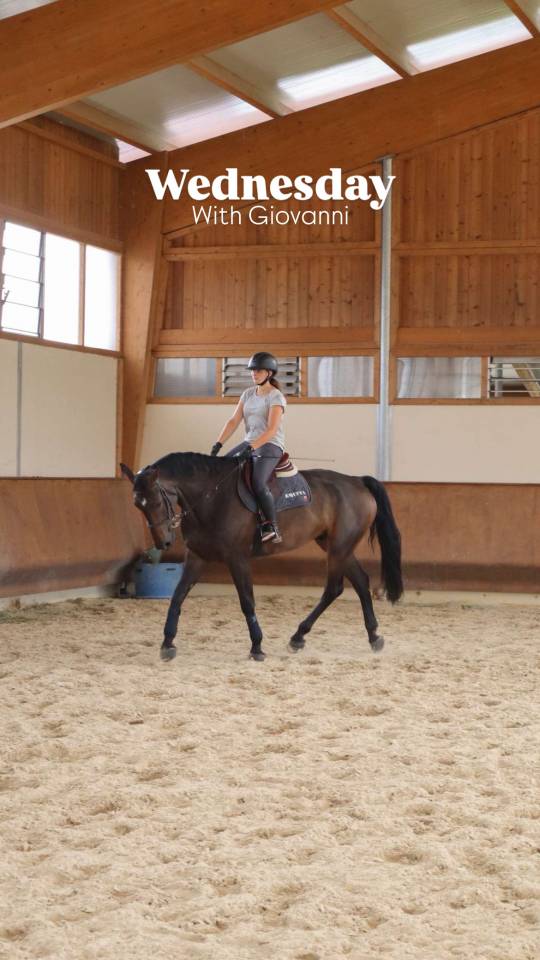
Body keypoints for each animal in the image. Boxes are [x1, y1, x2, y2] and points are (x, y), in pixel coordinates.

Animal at [120, 454, 403, 662]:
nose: (163, 543)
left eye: (157, 502)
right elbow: (177, 597)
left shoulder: (237, 557)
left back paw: (299, 636)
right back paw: (373, 636)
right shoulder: (198, 557)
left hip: (339, 548)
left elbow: (247, 602)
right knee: (361, 581)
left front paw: (256, 646)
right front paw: (167, 643)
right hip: (335, 546)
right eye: (137, 505)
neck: (211, 497)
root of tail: (357, 481)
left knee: (334, 588)